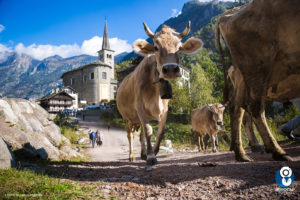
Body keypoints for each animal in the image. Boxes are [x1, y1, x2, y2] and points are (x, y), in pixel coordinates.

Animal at [216, 0, 300, 162]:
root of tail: (226, 16)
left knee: (238, 108)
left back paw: (241, 152)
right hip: (256, 67)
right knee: (253, 108)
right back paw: (276, 150)